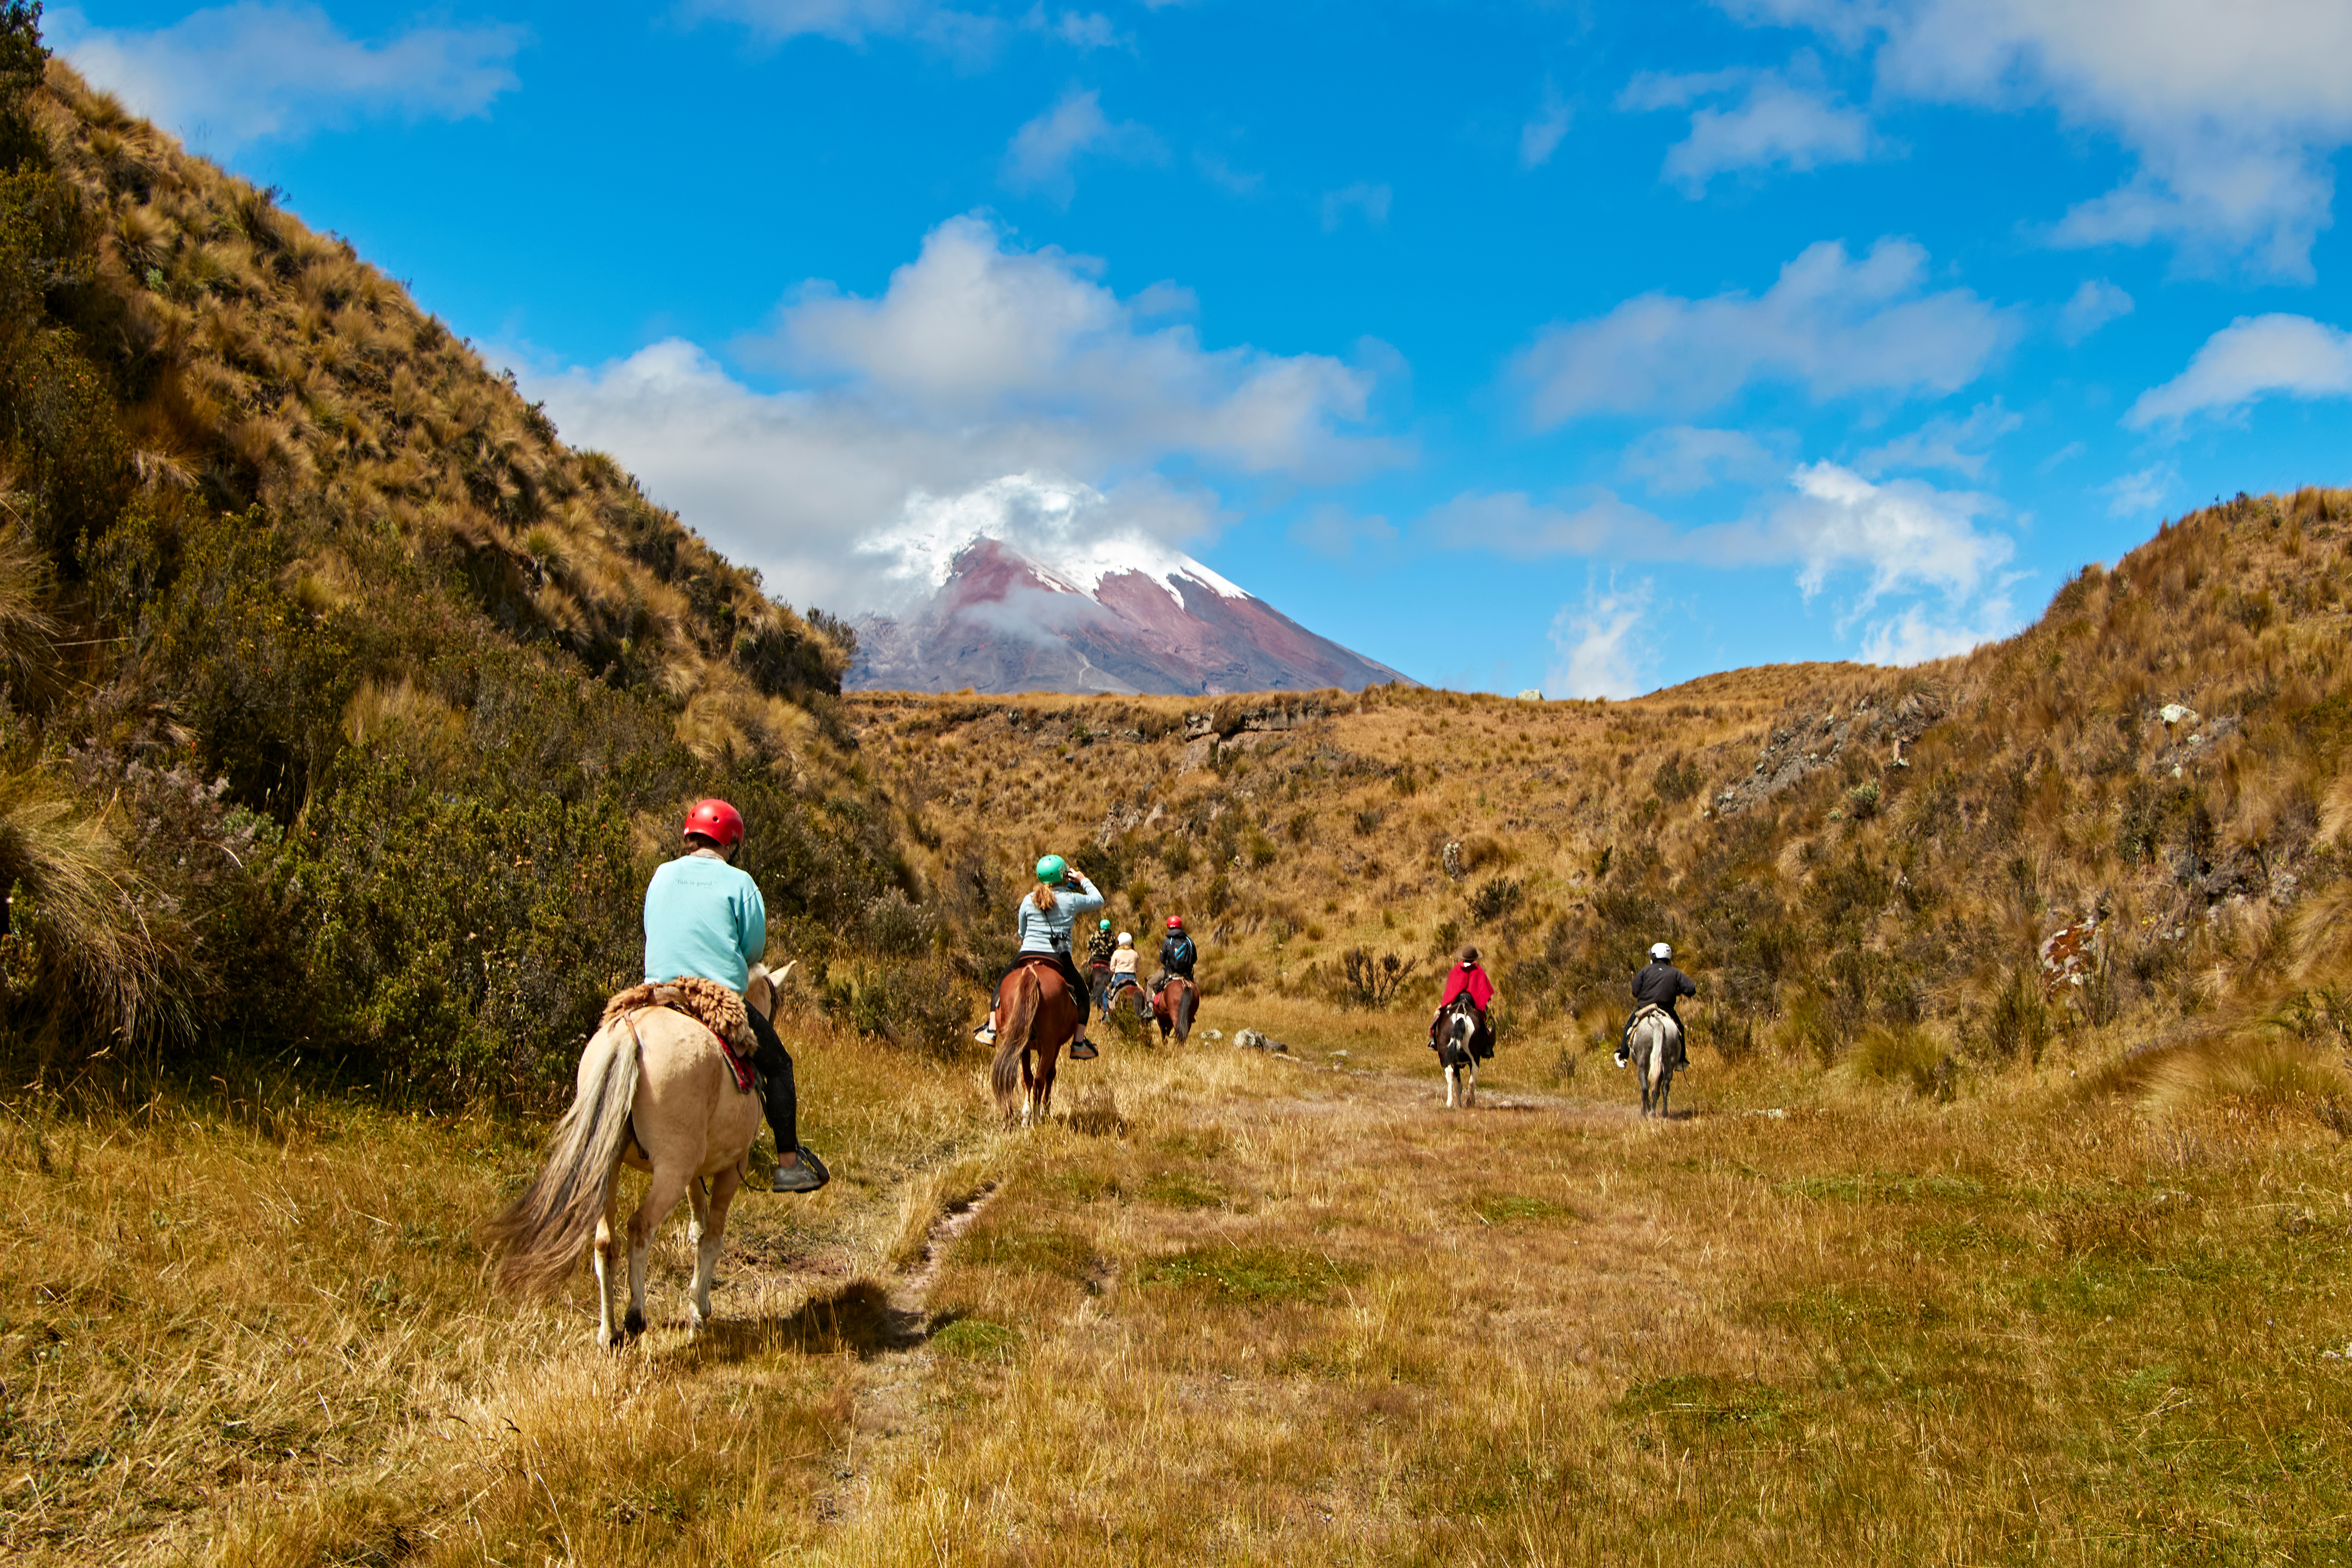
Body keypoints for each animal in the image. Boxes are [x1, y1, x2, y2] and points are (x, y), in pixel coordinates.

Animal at [487, 964, 790, 1344]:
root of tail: (630, 1035)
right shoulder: (732, 1167)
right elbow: (711, 1237)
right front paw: (699, 1312)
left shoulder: (694, 1175)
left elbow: (696, 1228)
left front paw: (699, 1303)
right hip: (671, 1172)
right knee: (640, 1226)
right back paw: (635, 1316)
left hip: (609, 1167)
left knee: (605, 1241)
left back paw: (608, 1332)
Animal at [988, 959, 1077, 1128]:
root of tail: (1031, 973)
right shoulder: (1054, 1047)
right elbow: (1050, 1075)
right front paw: (1046, 1110)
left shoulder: (1025, 1049)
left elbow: (1026, 1078)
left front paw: (1025, 1115)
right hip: (1049, 1045)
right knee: (1040, 1079)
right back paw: (1036, 1118)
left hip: (1017, 1042)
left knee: (1018, 1077)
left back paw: (1016, 1117)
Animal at [1152, 973, 1204, 1048]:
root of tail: (1185, 985)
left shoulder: (1160, 1020)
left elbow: (1164, 1032)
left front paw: (1165, 1043)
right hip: (1189, 1016)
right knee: (1185, 1031)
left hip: (1175, 1016)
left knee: (1178, 1030)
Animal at [1421, 1001, 1477, 1109]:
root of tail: (1461, 1017)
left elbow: (1458, 1084)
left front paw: (1459, 1104)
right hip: (1474, 1058)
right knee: (1472, 1080)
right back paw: (1469, 1103)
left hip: (1447, 1057)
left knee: (1451, 1073)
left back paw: (1451, 1103)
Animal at [1627, 1006, 1684, 1114]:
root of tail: (1658, 1023)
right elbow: (1656, 1090)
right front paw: (1652, 1110)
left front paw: (1647, 1108)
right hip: (1668, 1064)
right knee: (1665, 1087)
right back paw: (1663, 1112)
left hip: (1643, 1063)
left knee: (1645, 1089)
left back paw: (1645, 1113)